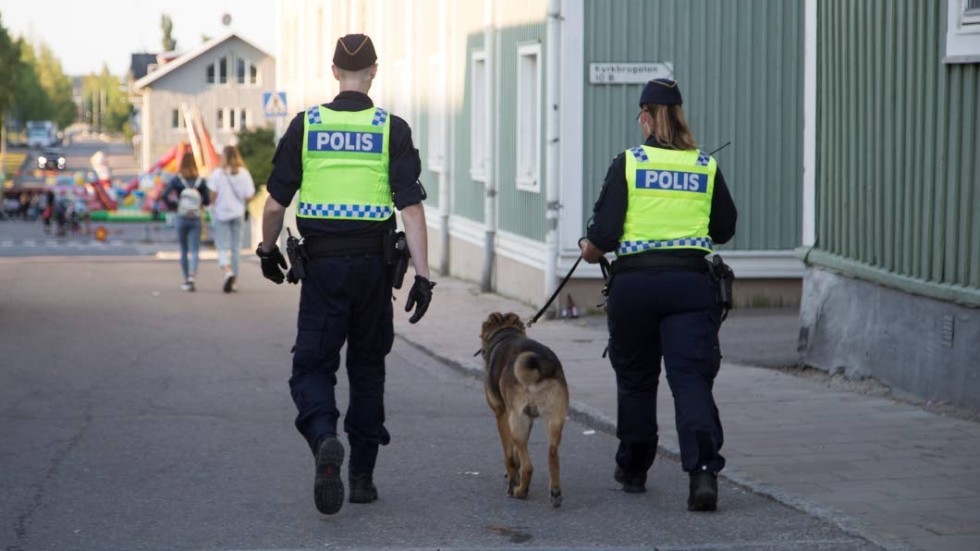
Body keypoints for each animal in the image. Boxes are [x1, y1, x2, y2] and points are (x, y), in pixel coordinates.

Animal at [480, 312, 572, 506]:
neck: (505, 334)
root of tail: (540, 364)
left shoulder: (502, 415)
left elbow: (509, 455)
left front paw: (512, 477)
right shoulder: (528, 420)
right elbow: (515, 455)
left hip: (517, 421)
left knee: (529, 466)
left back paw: (520, 491)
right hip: (555, 417)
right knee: (552, 453)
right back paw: (555, 491)